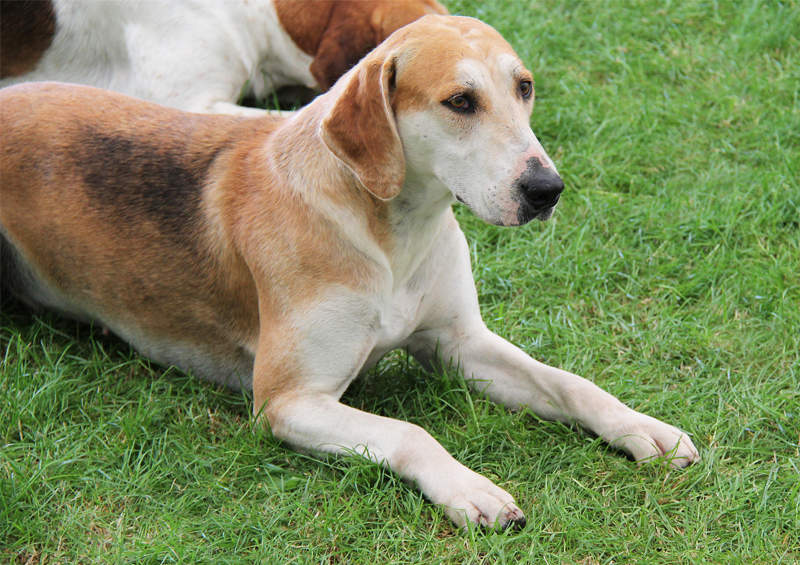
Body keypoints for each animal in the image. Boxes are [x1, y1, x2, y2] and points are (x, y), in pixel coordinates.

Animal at [0, 17, 700, 528]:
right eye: (460, 101)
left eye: (524, 87)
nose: (547, 189)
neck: (392, 235)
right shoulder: (289, 402)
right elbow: (411, 432)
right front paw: (467, 487)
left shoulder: (460, 344)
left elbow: (572, 384)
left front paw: (642, 428)